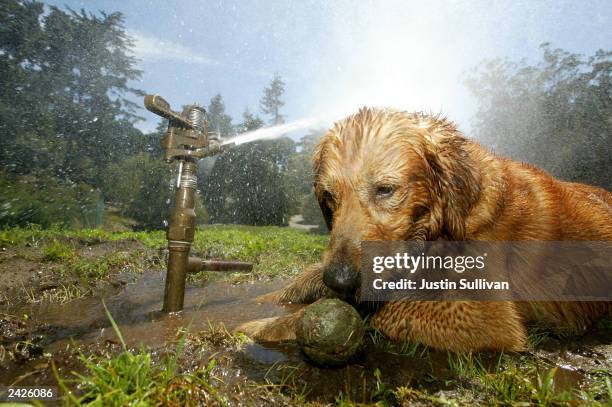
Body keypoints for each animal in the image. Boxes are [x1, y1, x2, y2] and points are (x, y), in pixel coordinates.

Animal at [238, 108, 612, 354]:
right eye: (329, 196)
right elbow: (308, 276)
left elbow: (385, 309)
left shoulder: (488, 318)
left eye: (385, 190)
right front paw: (264, 301)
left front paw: (265, 326)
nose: (341, 280)